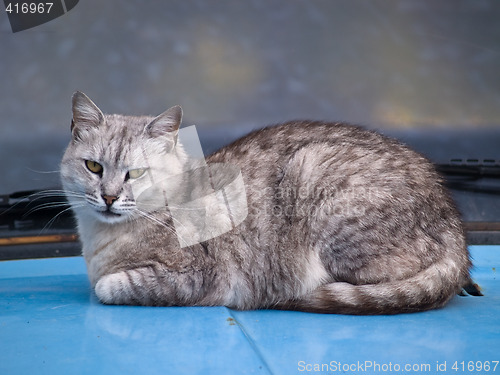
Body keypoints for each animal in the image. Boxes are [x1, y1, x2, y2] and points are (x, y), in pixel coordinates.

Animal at [60, 92, 474, 316]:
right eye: (94, 167)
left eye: (136, 173)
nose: (109, 196)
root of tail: (456, 230)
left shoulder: (199, 275)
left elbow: (108, 287)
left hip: (314, 174)